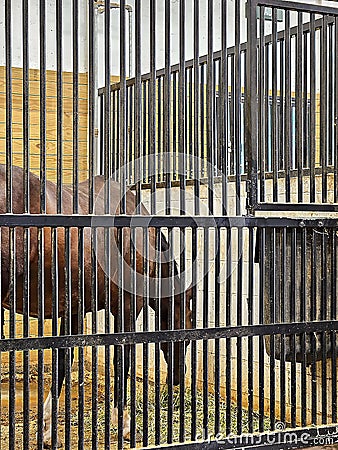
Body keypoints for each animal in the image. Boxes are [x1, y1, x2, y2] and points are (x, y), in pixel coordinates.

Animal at [0, 164, 193, 446]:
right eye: (188, 323)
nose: (178, 377)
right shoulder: (127, 307)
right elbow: (122, 360)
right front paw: (126, 425)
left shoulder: (73, 310)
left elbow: (63, 361)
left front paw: (47, 431)